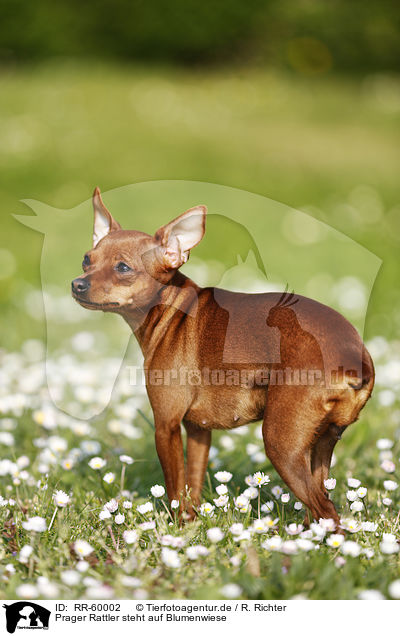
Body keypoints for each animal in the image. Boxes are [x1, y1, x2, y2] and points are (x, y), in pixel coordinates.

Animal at [72, 189, 376, 528]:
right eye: (87, 260)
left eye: (123, 268)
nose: (77, 284)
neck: (170, 309)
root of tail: (355, 358)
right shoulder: (198, 429)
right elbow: (192, 482)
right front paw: (193, 523)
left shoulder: (165, 425)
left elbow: (174, 488)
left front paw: (177, 529)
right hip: (322, 444)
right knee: (323, 502)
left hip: (281, 445)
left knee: (329, 514)